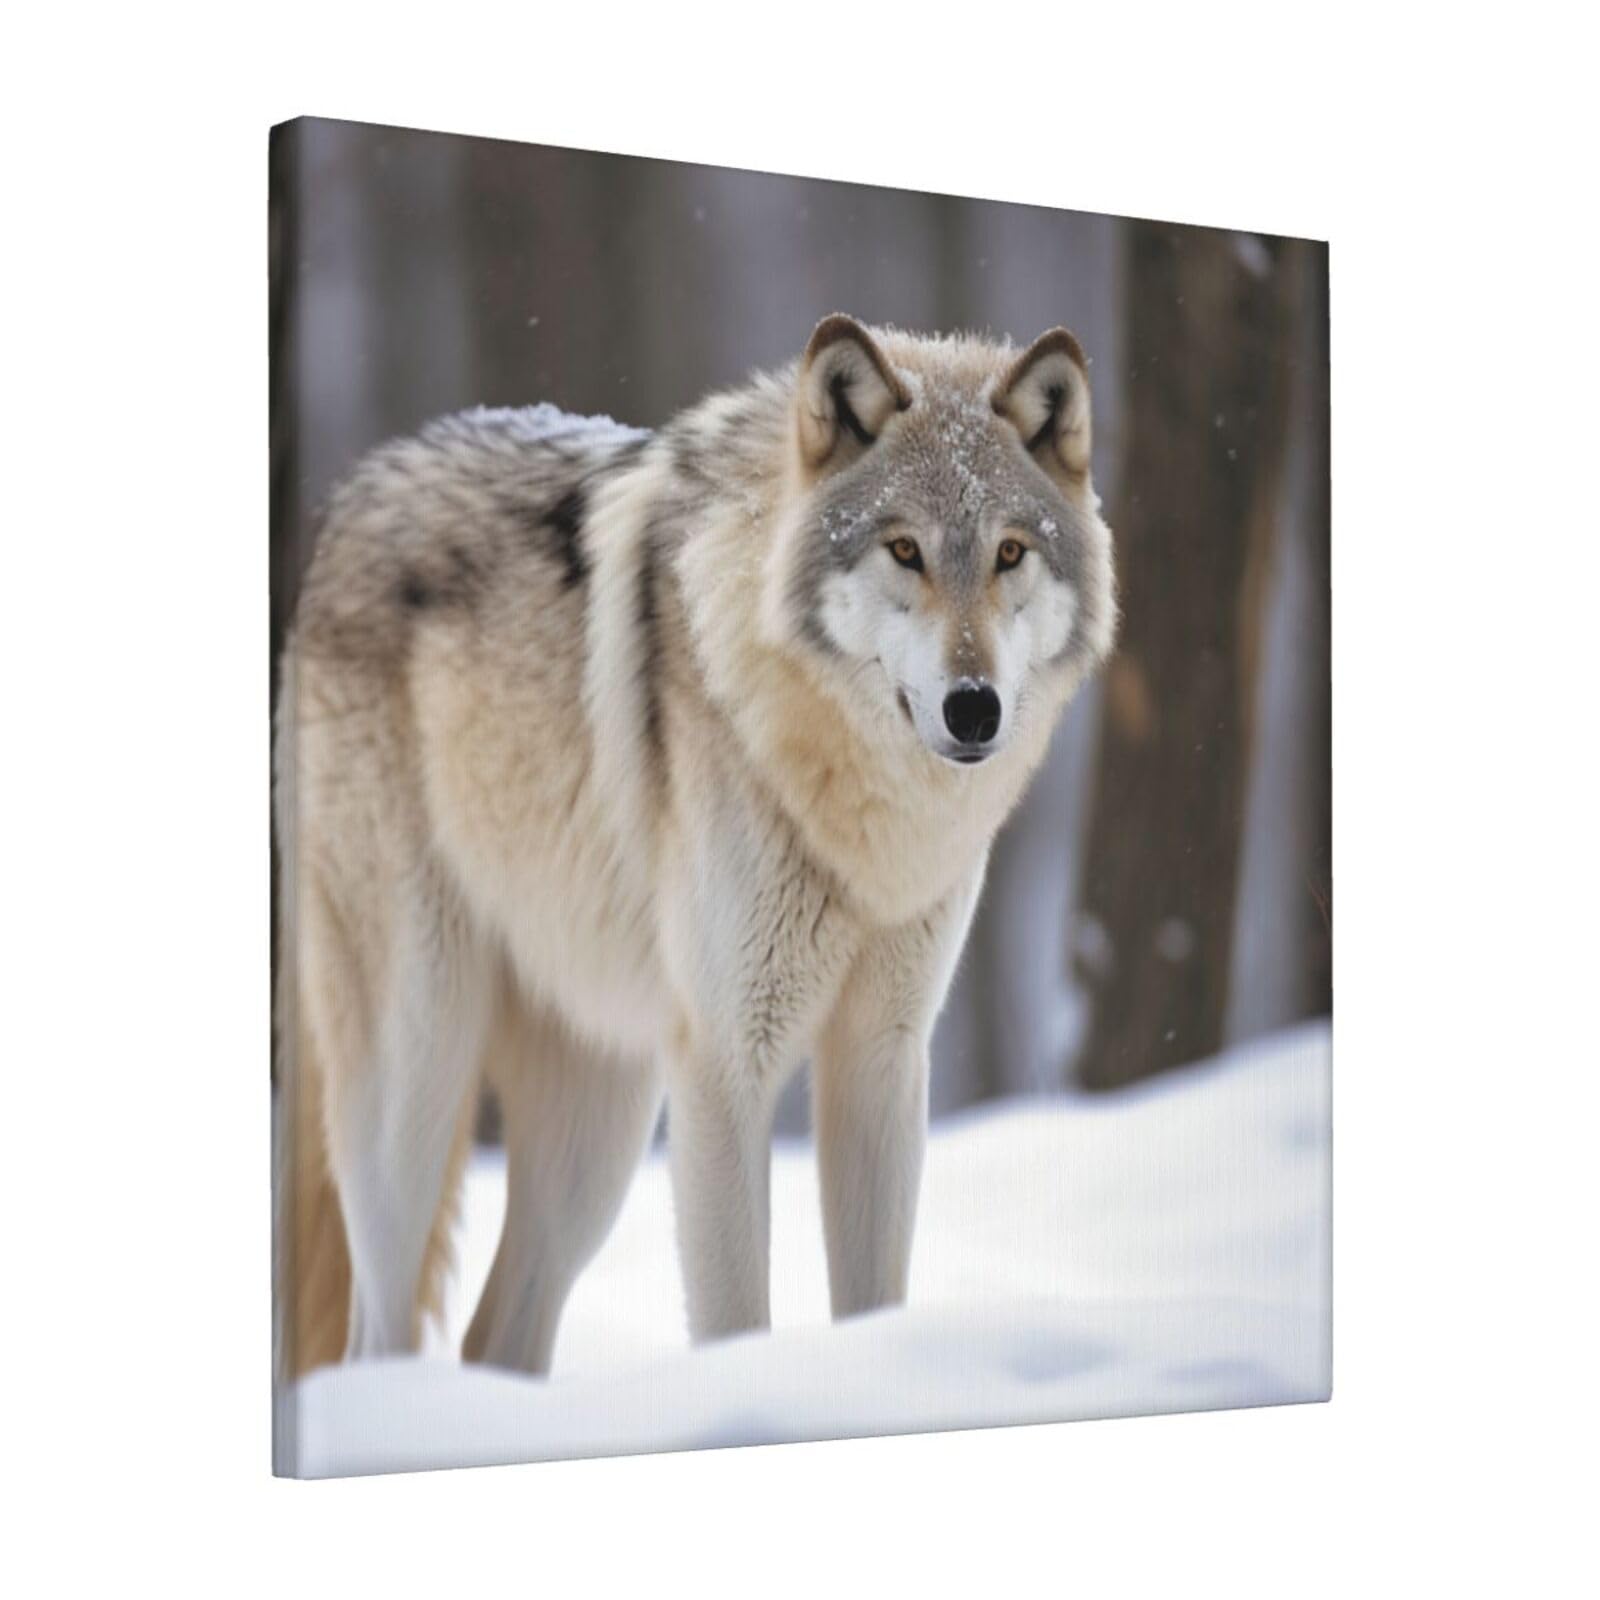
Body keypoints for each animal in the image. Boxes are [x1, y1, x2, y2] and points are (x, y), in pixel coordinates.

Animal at [275, 314, 1117, 1382]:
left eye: (1010, 551)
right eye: (905, 550)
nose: (976, 708)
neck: (861, 821)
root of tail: (351, 499)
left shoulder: (883, 1061)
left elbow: (874, 1302)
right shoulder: (725, 1065)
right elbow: (736, 1318)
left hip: (598, 1138)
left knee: (492, 1334)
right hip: (415, 1084)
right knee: (372, 1341)